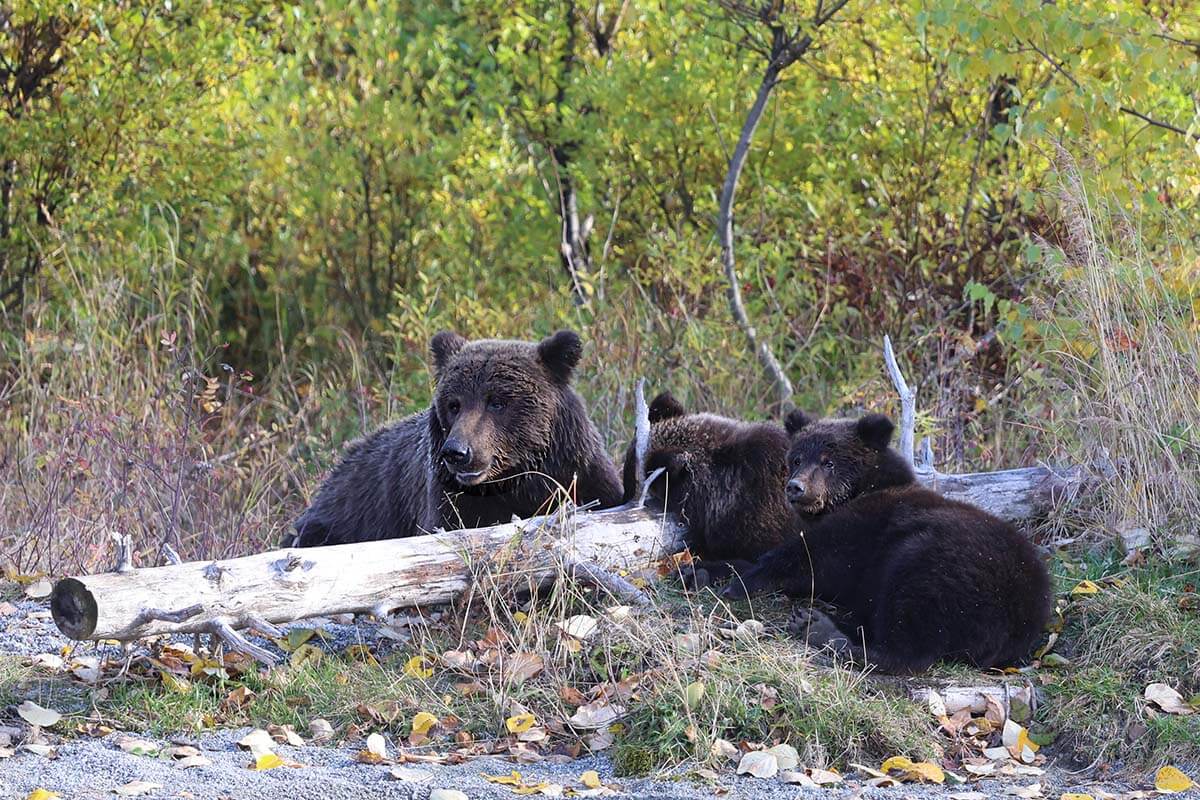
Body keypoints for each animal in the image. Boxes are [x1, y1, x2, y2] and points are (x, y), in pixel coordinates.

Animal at [291, 328, 624, 546]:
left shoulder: (577, 470)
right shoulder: (447, 498)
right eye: (454, 404)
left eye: (497, 402)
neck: (517, 479)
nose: (457, 452)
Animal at [720, 412, 1051, 676]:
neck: (859, 491)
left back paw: (824, 631)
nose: (796, 488)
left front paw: (740, 582)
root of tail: (1022, 620)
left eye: (829, 462)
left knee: (912, 625)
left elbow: (811, 558)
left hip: (944, 563)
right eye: (797, 458)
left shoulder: (864, 529)